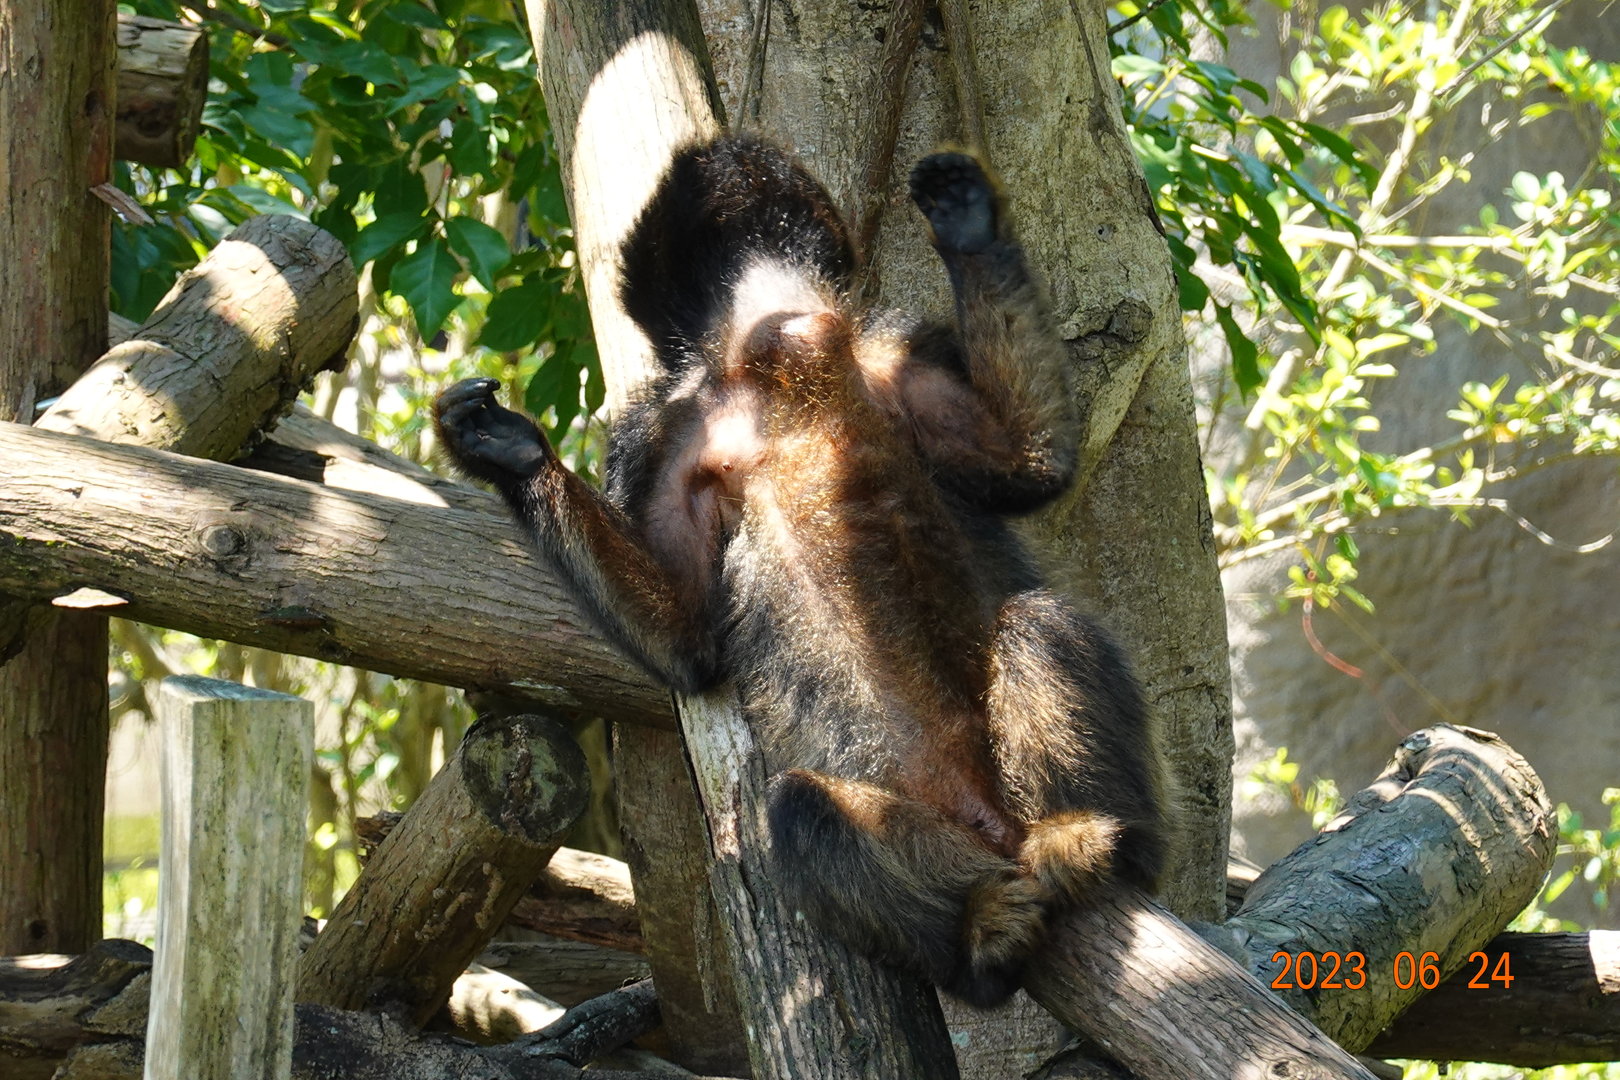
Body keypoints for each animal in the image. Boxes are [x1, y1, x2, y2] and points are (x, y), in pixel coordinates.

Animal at [434, 134, 1165, 1007]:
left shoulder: (888, 347)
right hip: (932, 829)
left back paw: (1086, 837)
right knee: (802, 810)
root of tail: (989, 820)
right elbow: (689, 645)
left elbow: (1034, 465)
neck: (779, 363)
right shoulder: (663, 433)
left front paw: (969, 223)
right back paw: (981, 937)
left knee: (1036, 621)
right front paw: (510, 452)